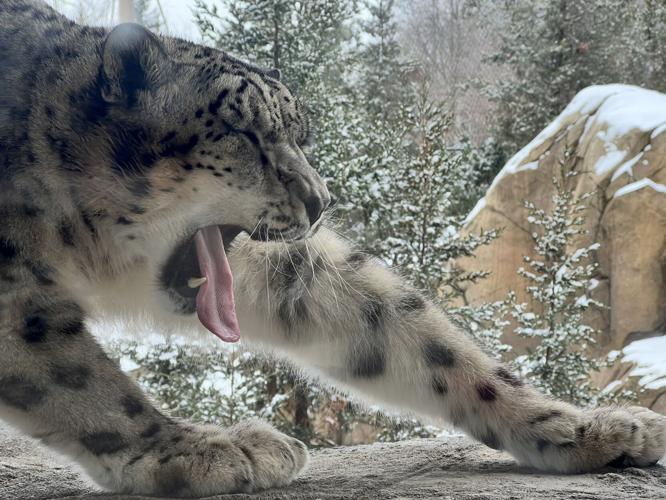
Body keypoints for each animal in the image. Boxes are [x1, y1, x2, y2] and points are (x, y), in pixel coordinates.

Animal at [0, 1, 664, 497]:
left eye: (300, 135)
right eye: (242, 133)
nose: (320, 200)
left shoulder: (282, 268)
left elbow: (401, 326)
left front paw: (588, 427)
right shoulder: (16, 287)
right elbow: (75, 373)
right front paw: (209, 448)